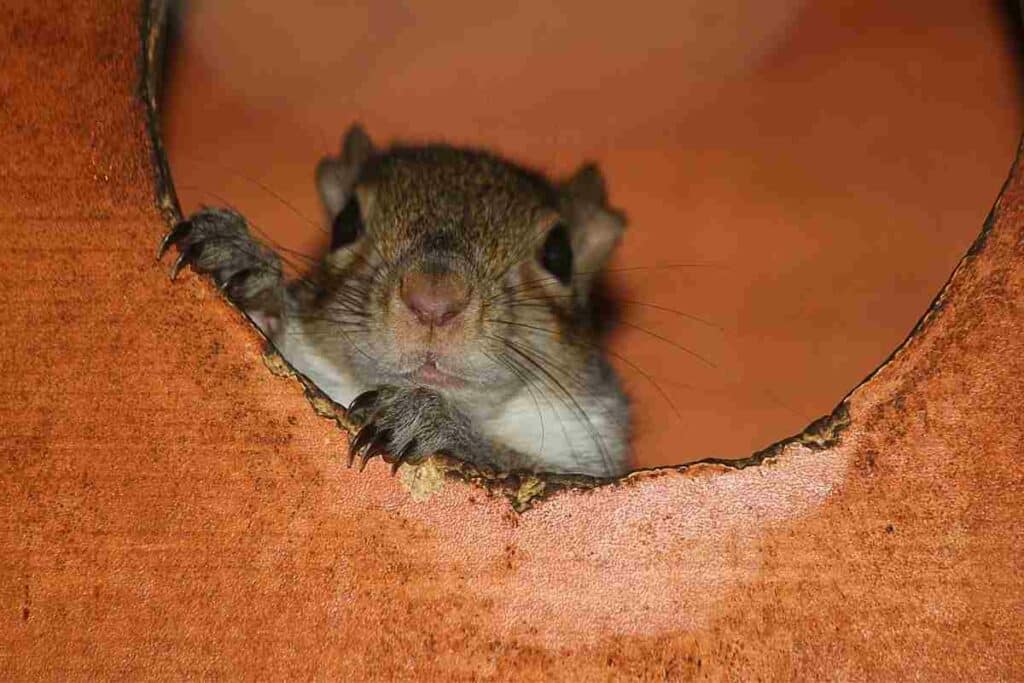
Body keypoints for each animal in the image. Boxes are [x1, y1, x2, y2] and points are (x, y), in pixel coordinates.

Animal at [157, 125, 630, 479]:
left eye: (559, 253)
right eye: (345, 222)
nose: (434, 299)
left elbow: (521, 466)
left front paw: (433, 420)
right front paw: (247, 270)